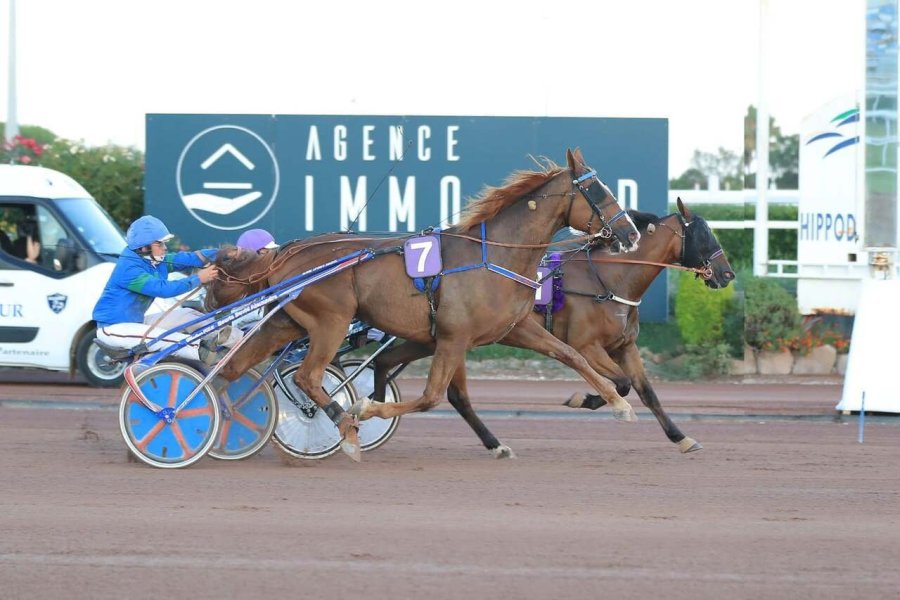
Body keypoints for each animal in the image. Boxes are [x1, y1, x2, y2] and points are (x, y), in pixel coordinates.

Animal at [204, 148, 640, 462]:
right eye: (597, 191)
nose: (630, 232)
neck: (491, 256)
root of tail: (286, 253)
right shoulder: (452, 338)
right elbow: (432, 397)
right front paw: (364, 408)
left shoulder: (512, 329)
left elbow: (572, 355)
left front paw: (618, 404)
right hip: (331, 321)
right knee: (307, 378)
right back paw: (344, 428)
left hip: (288, 322)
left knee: (235, 369)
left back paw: (216, 419)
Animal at [370, 199, 736, 458]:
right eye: (703, 235)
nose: (727, 274)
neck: (610, 278)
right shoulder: (587, 345)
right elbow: (620, 383)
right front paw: (582, 399)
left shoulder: (624, 346)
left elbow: (647, 391)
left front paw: (682, 437)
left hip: (436, 338)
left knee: (396, 365)